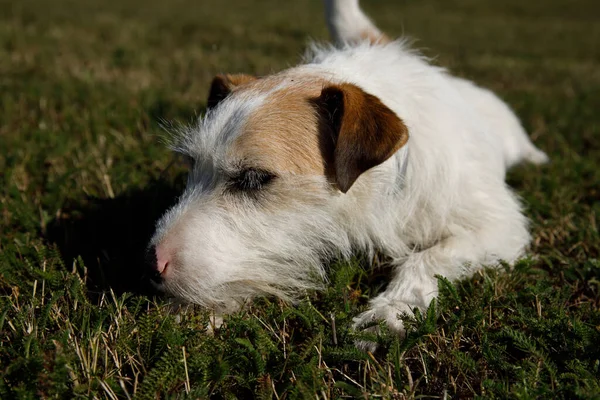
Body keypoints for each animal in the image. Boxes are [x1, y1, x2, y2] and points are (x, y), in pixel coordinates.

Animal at [146, 0, 548, 338]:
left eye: (253, 178)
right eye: (192, 165)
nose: (151, 263)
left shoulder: (499, 228)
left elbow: (425, 258)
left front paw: (390, 310)